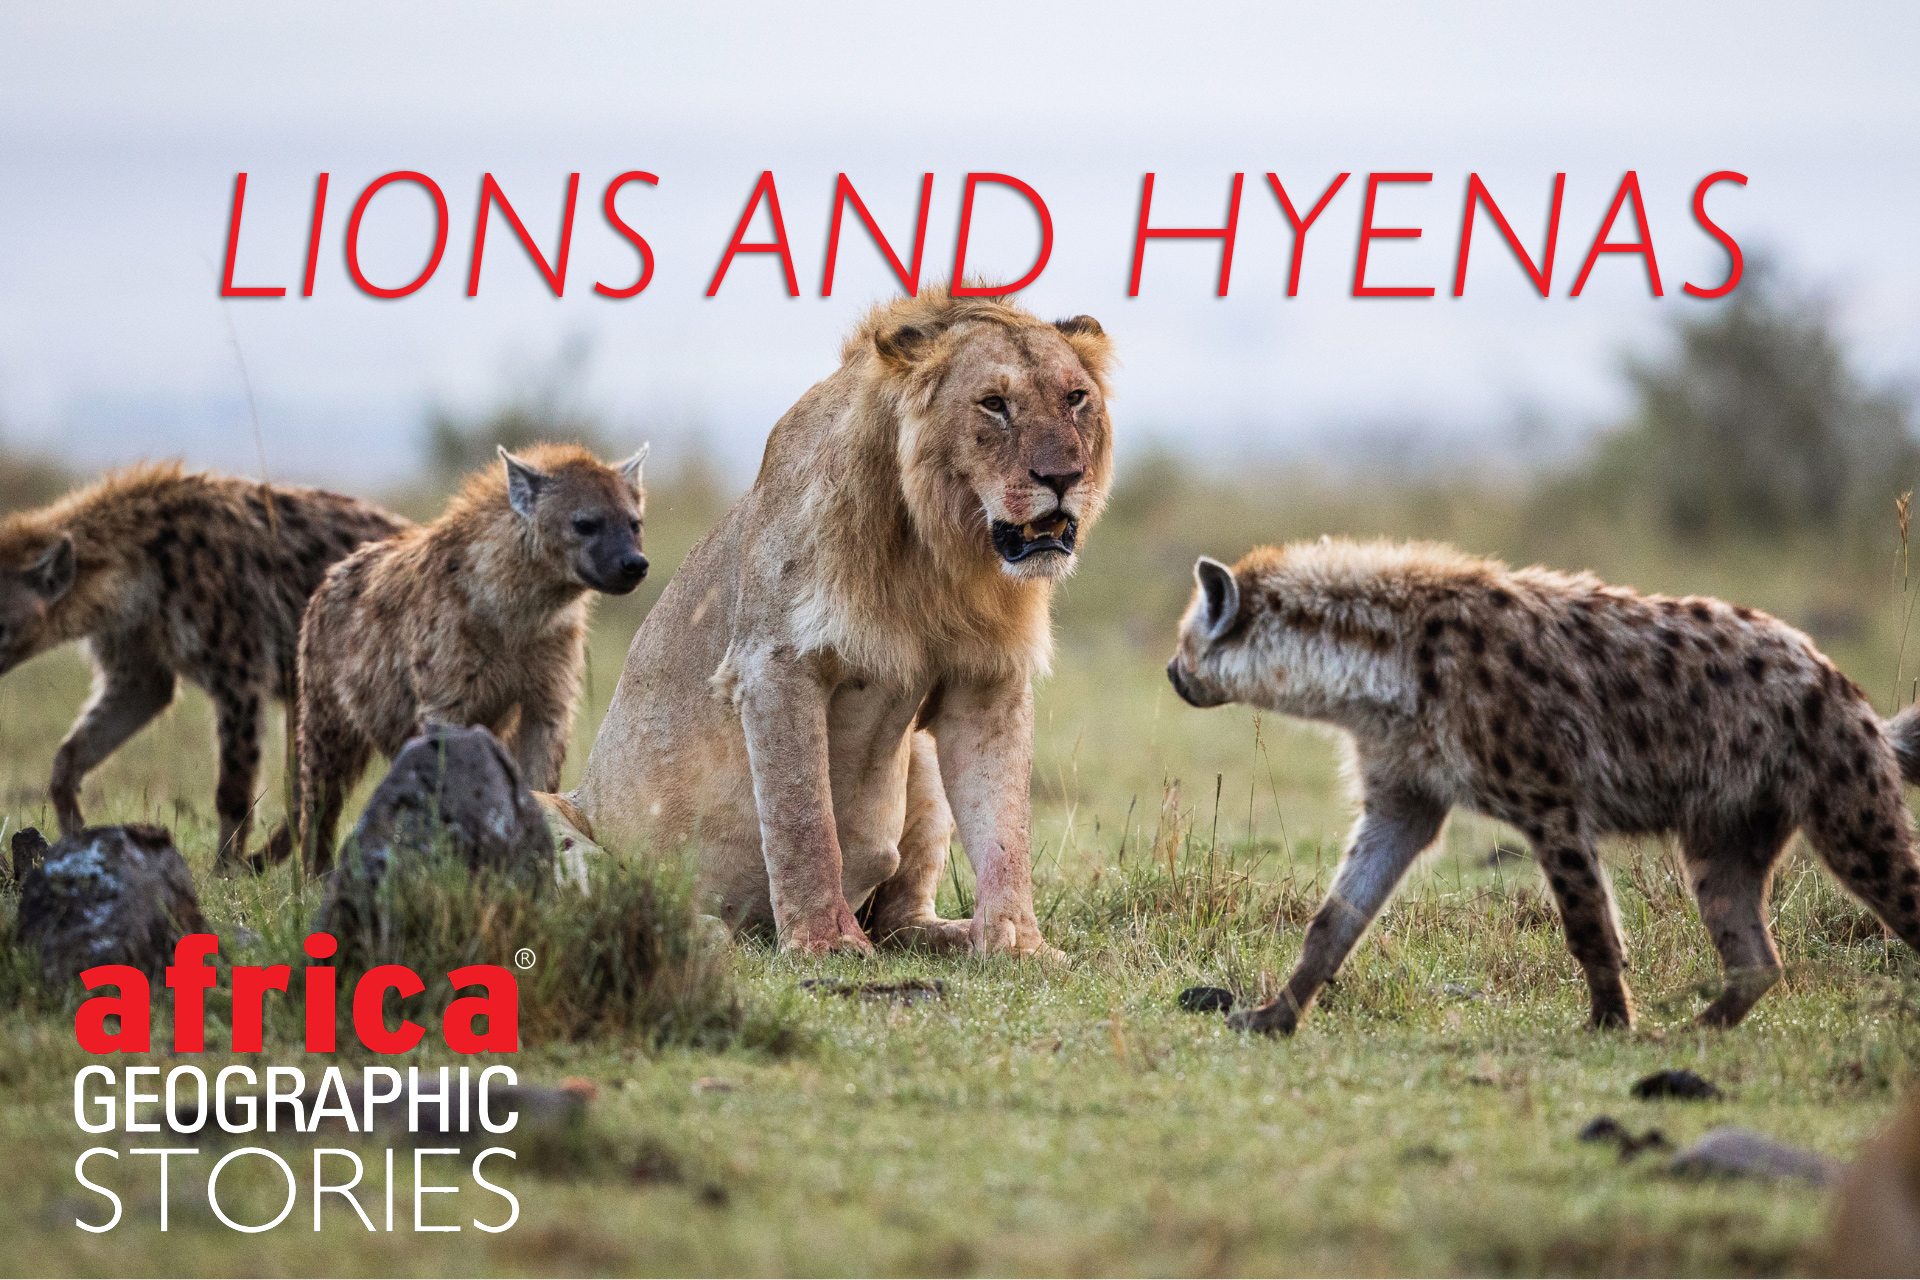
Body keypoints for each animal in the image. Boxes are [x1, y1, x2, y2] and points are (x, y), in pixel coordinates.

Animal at [555, 285, 1115, 953]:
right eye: (994, 404)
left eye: (1075, 398)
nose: (1065, 477)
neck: (938, 549)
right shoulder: (774, 664)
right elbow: (803, 819)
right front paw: (826, 941)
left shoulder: (987, 678)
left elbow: (1006, 828)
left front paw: (1017, 945)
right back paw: (691, 925)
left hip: (919, 760)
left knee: (901, 920)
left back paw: (956, 935)